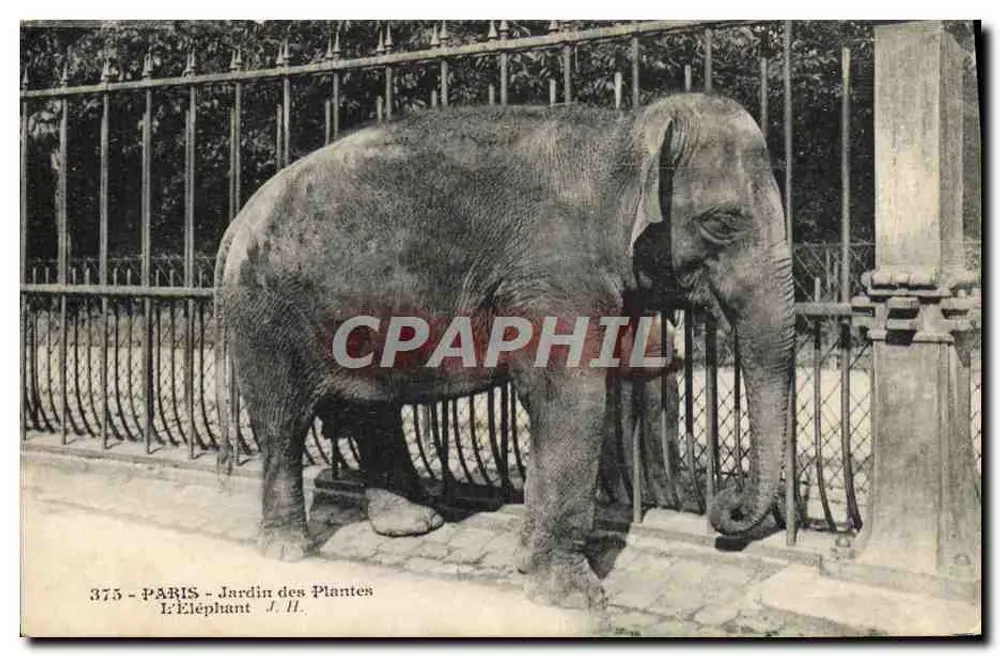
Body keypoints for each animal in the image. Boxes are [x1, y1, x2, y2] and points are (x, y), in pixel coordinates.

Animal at [214, 92, 795, 610]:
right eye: (723, 223)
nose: (727, 510)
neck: (625, 134)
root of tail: (237, 220)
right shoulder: (551, 271)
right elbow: (572, 398)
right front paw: (571, 596)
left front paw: (530, 565)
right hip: (266, 315)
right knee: (283, 422)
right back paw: (289, 550)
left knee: (372, 410)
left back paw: (413, 526)